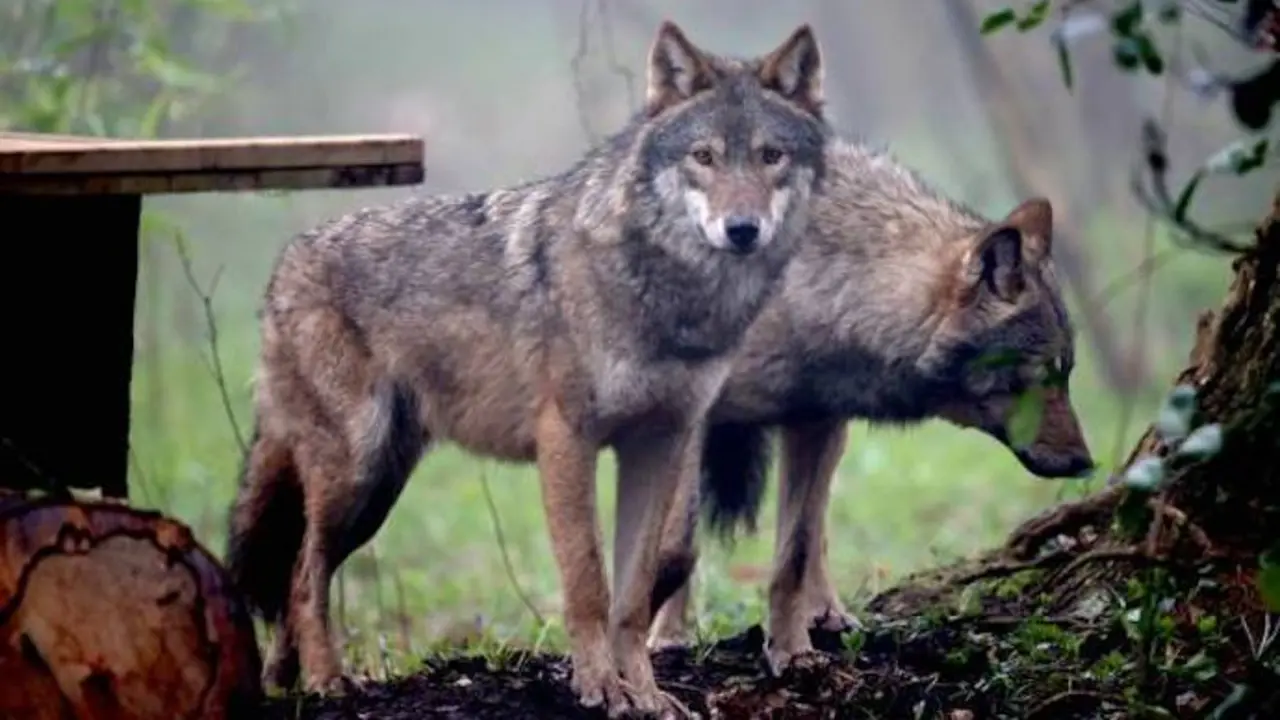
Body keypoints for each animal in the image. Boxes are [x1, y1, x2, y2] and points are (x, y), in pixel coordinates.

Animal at [224, 20, 830, 717]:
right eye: (703, 157)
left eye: (770, 156)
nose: (742, 229)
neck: (666, 296)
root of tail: (284, 265)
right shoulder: (567, 439)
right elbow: (589, 582)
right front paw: (600, 689)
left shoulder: (661, 444)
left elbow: (634, 594)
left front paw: (646, 695)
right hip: (357, 473)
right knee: (303, 574)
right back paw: (327, 681)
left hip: (377, 489)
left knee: (293, 572)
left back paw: (284, 683)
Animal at [644, 138, 1095, 673]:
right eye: (1044, 375)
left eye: (1067, 374)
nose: (1086, 463)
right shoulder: (687, 420)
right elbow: (674, 547)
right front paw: (650, 642)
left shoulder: (811, 419)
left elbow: (794, 554)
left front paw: (792, 653)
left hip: (830, 434)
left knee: (816, 528)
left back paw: (828, 614)